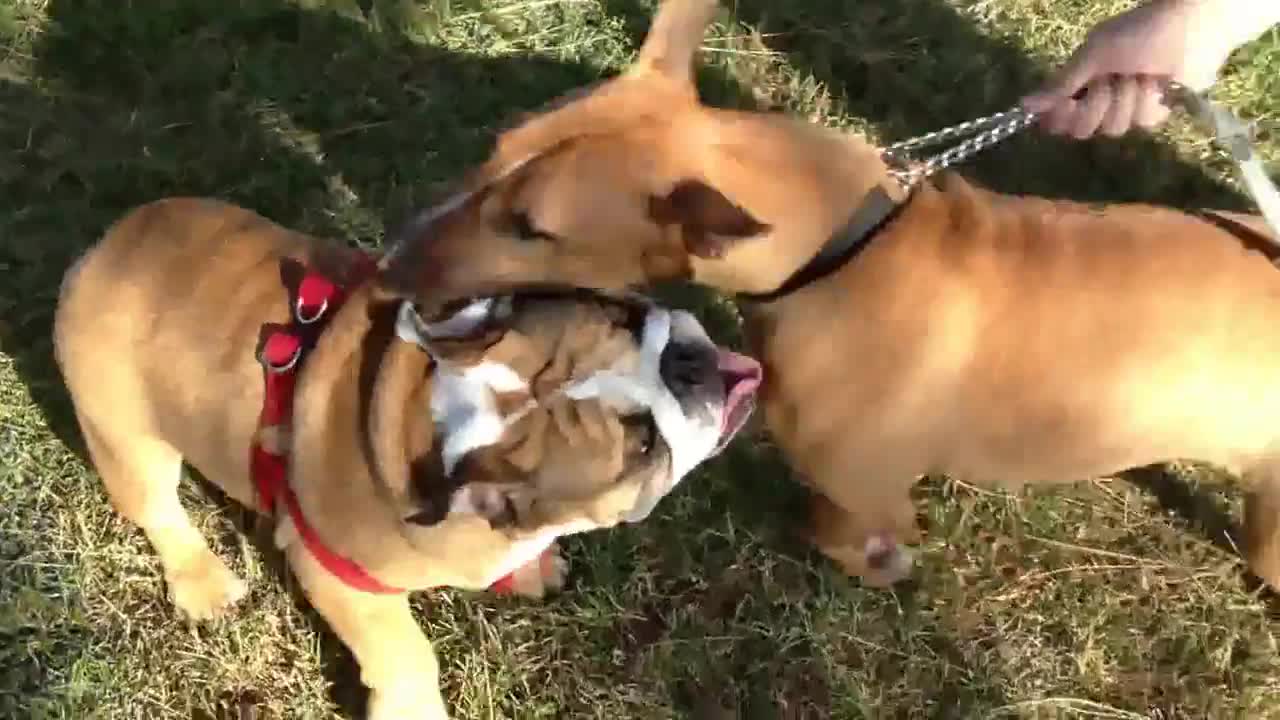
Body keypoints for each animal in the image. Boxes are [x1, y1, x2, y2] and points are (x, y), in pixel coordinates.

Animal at [376, 1, 1280, 589]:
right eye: (494, 150)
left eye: (532, 227)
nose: (388, 266)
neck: (842, 245)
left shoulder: (861, 487)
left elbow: (838, 529)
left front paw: (887, 561)